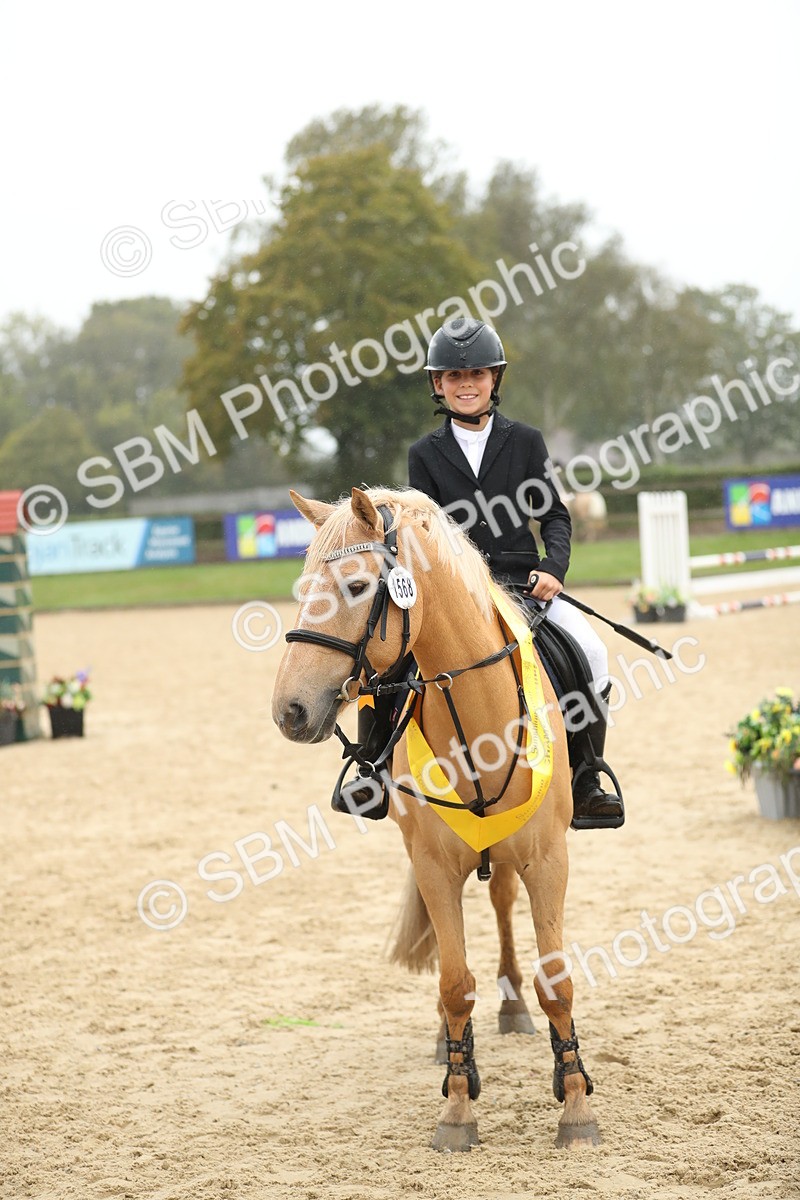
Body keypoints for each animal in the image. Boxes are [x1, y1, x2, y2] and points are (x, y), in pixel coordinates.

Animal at [272, 485, 600, 1152]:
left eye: (354, 586)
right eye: (302, 586)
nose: (289, 710)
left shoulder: (547, 859)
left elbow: (556, 981)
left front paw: (576, 1105)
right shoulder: (433, 865)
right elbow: (454, 984)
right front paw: (457, 1105)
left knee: (500, 903)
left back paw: (512, 1010)